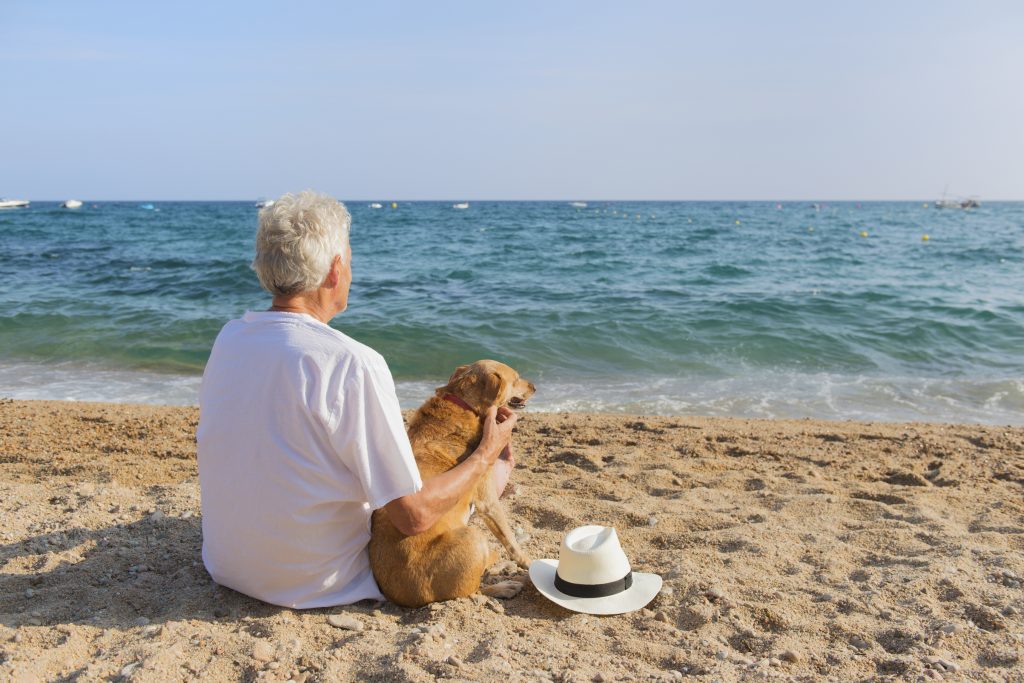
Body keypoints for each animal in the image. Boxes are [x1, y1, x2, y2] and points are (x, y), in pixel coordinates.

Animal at [372, 360, 540, 606]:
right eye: (516, 378)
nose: (535, 387)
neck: (465, 404)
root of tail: (404, 598)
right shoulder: (488, 499)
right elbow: (509, 538)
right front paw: (527, 562)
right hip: (473, 536)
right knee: (473, 590)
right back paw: (503, 583)